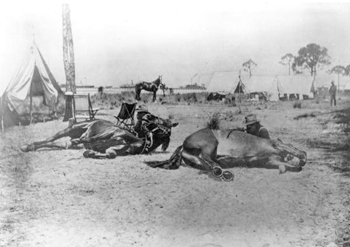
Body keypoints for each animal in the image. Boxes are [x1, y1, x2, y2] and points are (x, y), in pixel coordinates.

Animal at [20, 118, 178, 159]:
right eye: (156, 120)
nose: (145, 122)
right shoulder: (109, 133)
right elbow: (90, 140)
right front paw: (89, 149)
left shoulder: (115, 149)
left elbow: (110, 153)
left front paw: (92, 152)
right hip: (71, 129)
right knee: (51, 139)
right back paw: (27, 146)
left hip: (68, 141)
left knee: (63, 144)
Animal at [146, 129, 308, 181]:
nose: (300, 161)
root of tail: (184, 144)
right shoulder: (276, 145)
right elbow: (289, 149)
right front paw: (302, 157)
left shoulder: (269, 161)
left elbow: (281, 164)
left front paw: (292, 166)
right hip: (210, 142)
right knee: (207, 158)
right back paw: (221, 168)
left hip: (195, 157)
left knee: (206, 162)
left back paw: (220, 169)